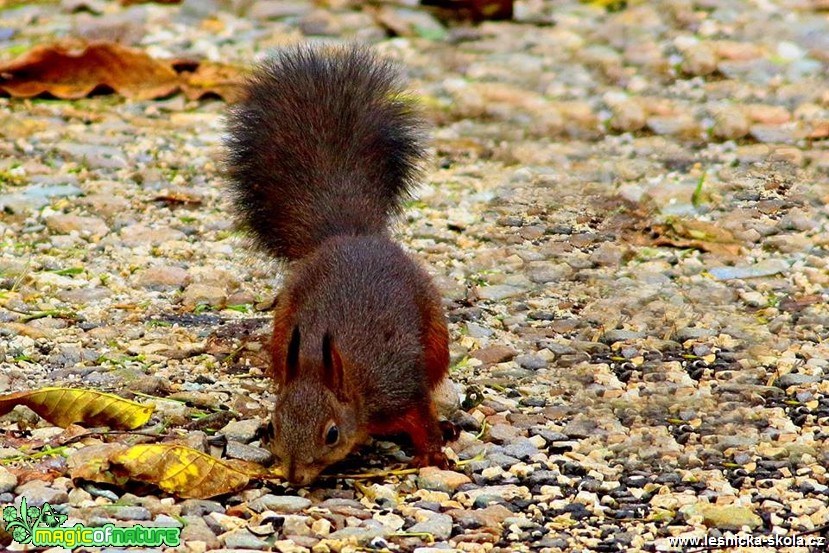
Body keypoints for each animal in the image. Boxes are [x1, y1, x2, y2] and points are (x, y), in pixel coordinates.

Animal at [223, 45, 450, 484]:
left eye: (331, 434)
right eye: (273, 426)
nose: (294, 476)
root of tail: (351, 235)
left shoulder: (400, 391)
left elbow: (423, 418)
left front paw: (432, 453)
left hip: (435, 331)